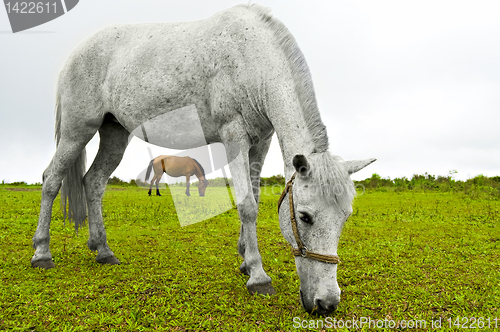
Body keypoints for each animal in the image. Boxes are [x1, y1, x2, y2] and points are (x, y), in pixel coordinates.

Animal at [32, 5, 376, 316]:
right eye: (304, 217)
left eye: (345, 217)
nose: (327, 304)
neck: (252, 58)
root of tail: (77, 53)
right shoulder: (234, 136)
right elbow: (246, 205)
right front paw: (258, 276)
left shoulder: (260, 142)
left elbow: (254, 197)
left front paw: (245, 260)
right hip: (77, 131)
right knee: (51, 179)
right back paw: (42, 252)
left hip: (114, 134)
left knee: (93, 182)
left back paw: (103, 250)